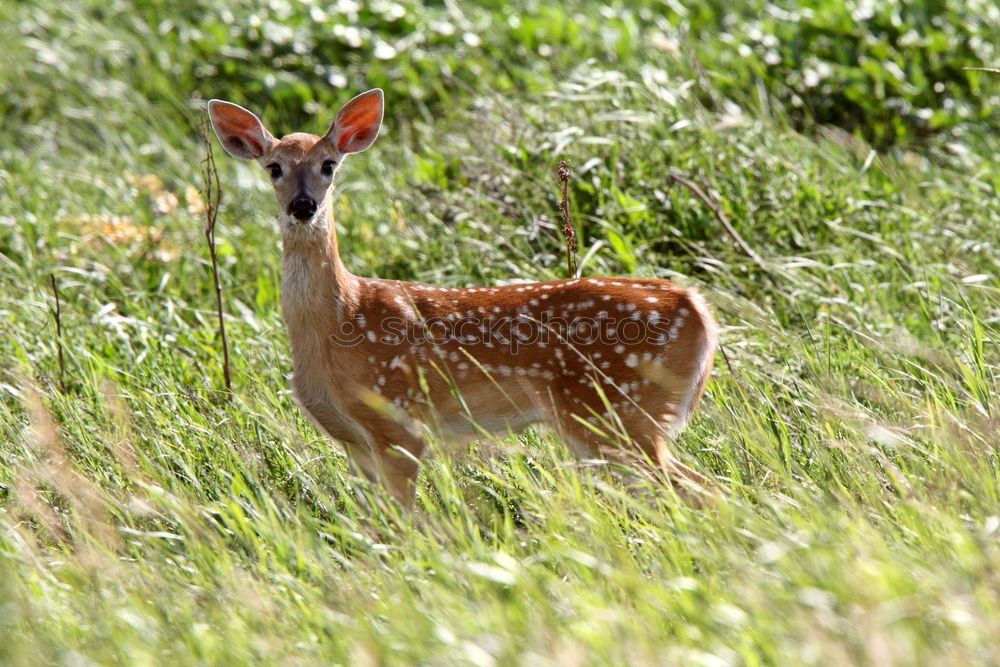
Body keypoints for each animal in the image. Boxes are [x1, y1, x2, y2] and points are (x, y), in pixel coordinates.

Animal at [207, 87, 716, 506]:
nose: (303, 206)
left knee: (700, 490)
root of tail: (697, 309)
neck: (338, 318)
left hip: (617, 410)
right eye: (274, 168)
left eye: (328, 165)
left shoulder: (398, 422)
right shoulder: (353, 442)